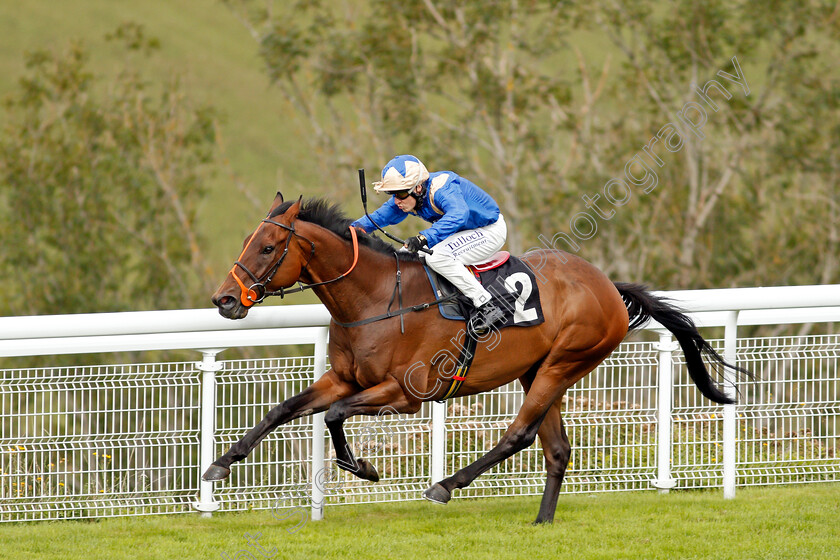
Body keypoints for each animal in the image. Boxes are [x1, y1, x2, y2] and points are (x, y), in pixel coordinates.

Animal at [203, 194, 748, 524]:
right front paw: (221, 464)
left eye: (268, 246)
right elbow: (285, 409)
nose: (224, 300)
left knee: (520, 435)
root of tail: (607, 287)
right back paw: (542, 520)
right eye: (248, 241)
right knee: (556, 448)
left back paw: (447, 485)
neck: (376, 298)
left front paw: (363, 468)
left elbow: (335, 415)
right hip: (538, 370)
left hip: (565, 362)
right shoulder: (343, 377)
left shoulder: (404, 394)